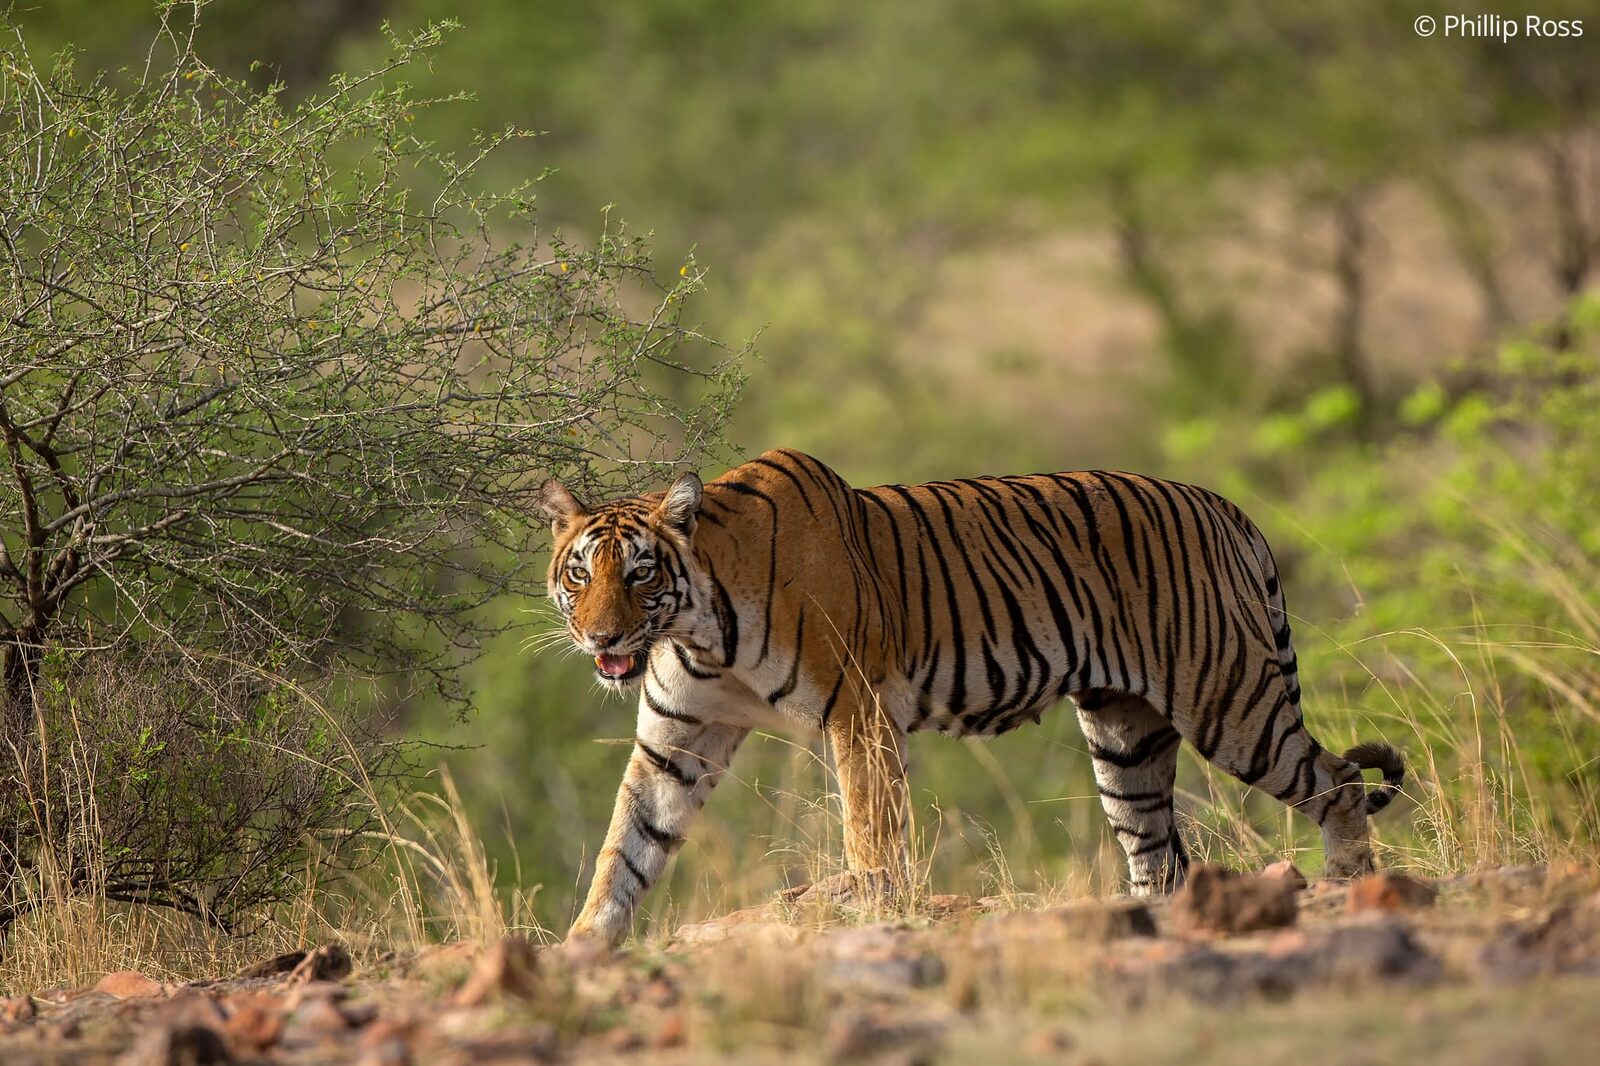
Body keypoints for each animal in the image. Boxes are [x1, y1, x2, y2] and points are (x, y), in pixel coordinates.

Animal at [538, 448, 1404, 946]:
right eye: (580, 574)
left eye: (641, 573)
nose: (600, 637)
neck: (698, 628)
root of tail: (1225, 507)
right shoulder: (678, 739)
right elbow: (626, 848)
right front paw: (582, 947)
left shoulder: (860, 712)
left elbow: (870, 833)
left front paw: (877, 915)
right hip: (1125, 734)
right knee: (1158, 854)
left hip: (1230, 700)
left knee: (1338, 781)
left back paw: (1346, 885)